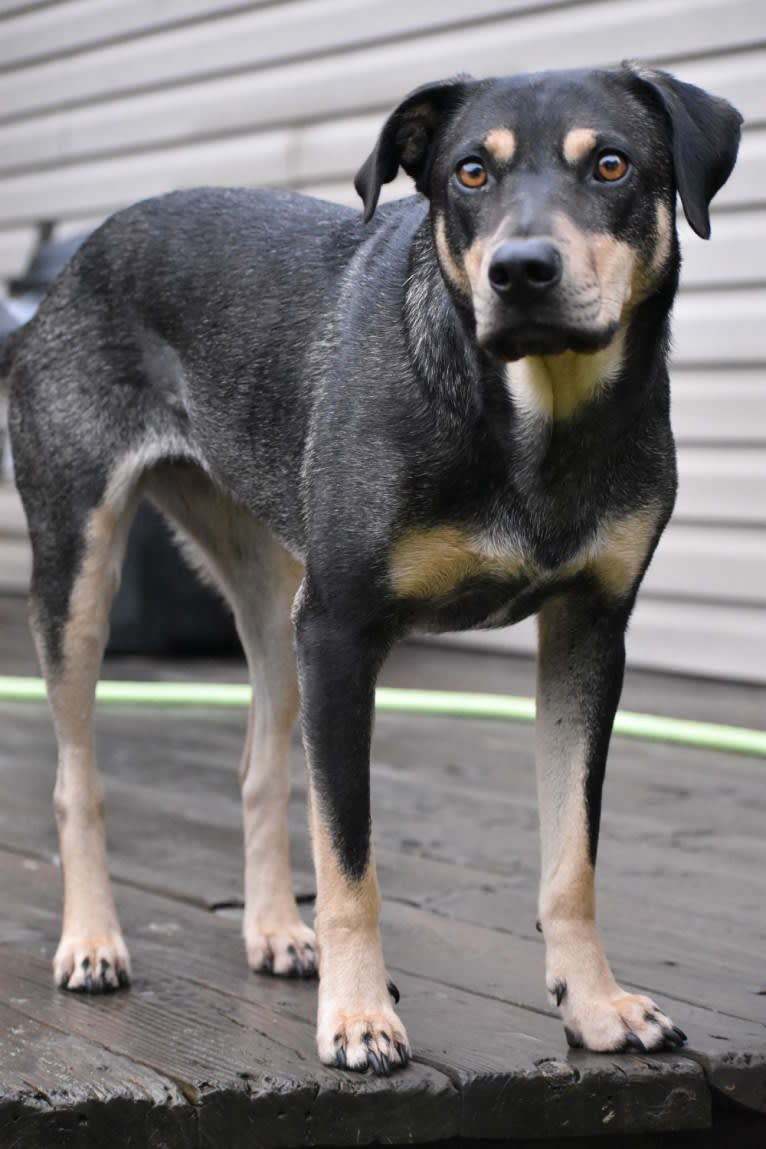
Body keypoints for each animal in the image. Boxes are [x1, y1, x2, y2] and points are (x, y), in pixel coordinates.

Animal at [1, 60, 744, 1066]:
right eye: (471, 172)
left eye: (613, 165)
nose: (521, 272)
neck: (532, 409)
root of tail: (72, 267)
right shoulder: (342, 630)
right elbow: (349, 856)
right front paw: (358, 1016)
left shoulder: (589, 631)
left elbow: (572, 855)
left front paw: (594, 1003)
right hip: (79, 571)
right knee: (76, 776)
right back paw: (91, 940)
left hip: (272, 597)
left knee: (261, 765)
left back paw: (274, 929)